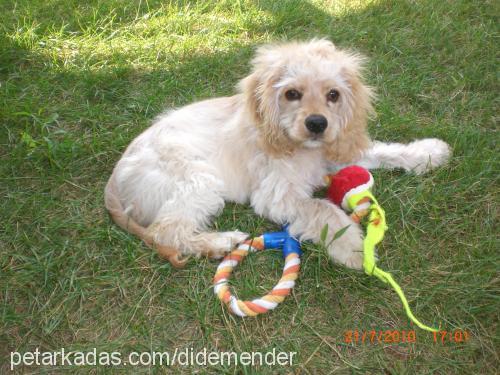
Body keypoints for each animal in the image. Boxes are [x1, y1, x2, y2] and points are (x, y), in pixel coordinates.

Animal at [103, 40, 452, 270]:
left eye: (334, 95)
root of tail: (114, 182)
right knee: (166, 230)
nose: (317, 124)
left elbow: (382, 150)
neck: (301, 147)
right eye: (292, 94)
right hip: (197, 179)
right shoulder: (276, 195)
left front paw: (428, 152)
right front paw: (353, 248)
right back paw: (220, 242)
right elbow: (323, 209)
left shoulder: (336, 151)